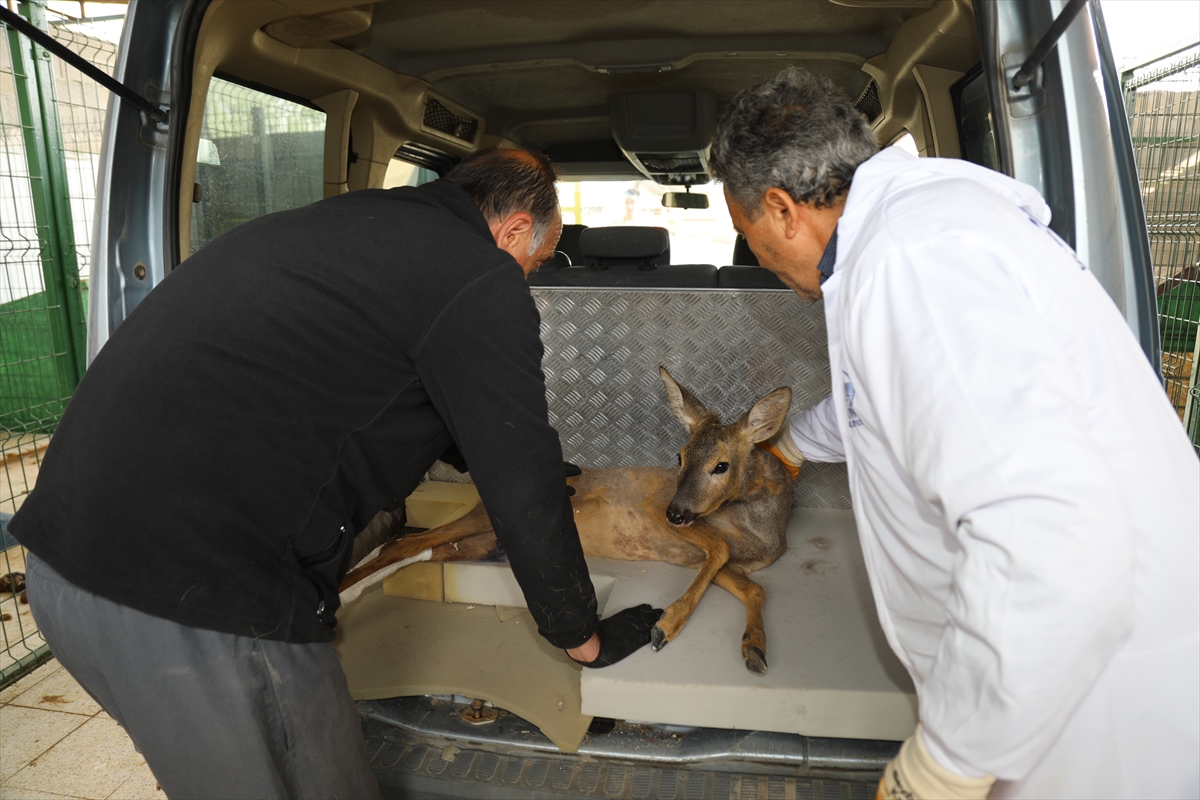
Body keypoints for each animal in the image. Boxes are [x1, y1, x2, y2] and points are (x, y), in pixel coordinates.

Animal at [345, 369, 796, 676]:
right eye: (679, 457)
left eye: (721, 465)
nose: (678, 512)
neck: (763, 534)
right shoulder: (658, 509)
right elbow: (719, 546)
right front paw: (665, 626)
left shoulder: (700, 559)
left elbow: (754, 587)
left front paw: (755, 648)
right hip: (487, 518)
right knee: (402, 542)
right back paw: (344, 591)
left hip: (485, 540)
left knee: (420, 548)